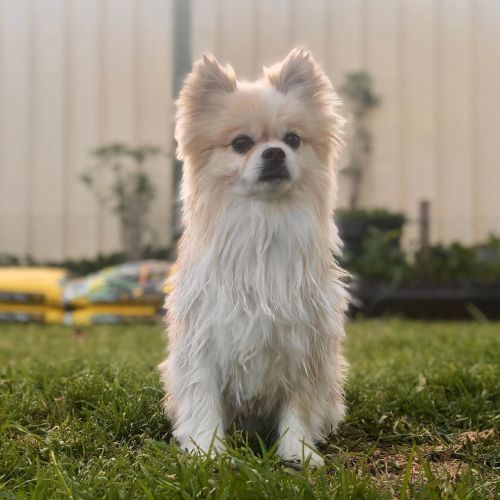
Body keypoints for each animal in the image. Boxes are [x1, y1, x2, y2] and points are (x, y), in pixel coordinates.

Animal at [160, 48, 348, 466]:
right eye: (241, 143)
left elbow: (298, 408)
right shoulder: (204, 345)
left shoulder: (304, 346)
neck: (263, 223)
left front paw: (298, 453)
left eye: (293, 140)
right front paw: (208, 451)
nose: (275, 151)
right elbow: (204, 402)